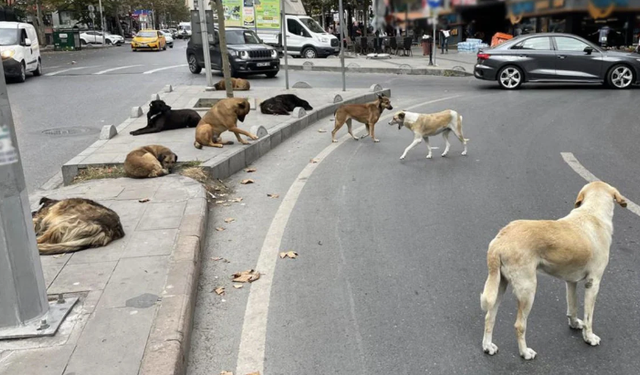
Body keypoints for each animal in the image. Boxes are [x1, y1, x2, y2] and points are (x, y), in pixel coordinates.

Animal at [482, 182, 628, 362]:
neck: (592, 213)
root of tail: (500, 240)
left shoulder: (571, 282)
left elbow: (572, 307)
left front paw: (574, 324)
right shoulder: (593, 283)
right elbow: (589, 317)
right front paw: (589, 337)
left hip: (499, 286)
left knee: (489, 317)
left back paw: (488, 346)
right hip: (527, 290)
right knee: (519, 325)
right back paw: (525, 352)